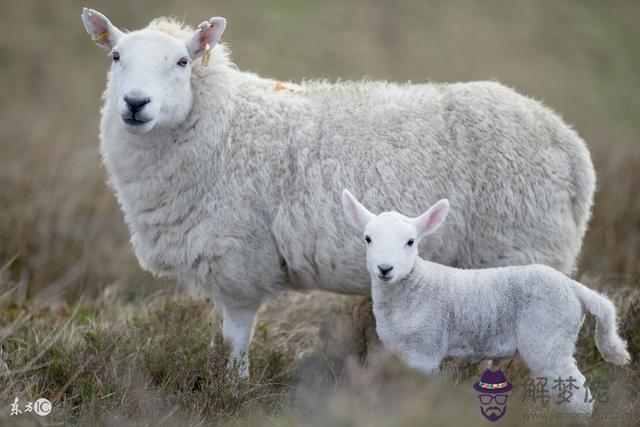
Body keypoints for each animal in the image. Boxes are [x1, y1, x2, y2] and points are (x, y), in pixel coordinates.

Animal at [82, 9, 596, 378]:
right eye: (116, 57)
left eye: (183, 61)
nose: (135, 103)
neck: (224, 126)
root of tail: (571, 147)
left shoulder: (240, 262)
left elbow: (237, 339)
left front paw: (234, 389)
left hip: (522, 249)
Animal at [342, 189, 632, 416]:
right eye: (368, 239)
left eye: (410, 242)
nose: (385, 269)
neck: (412, 285)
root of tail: (575, 289)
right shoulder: (399, 350)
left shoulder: (425, 350)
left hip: (548, 339)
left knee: (577, 397)